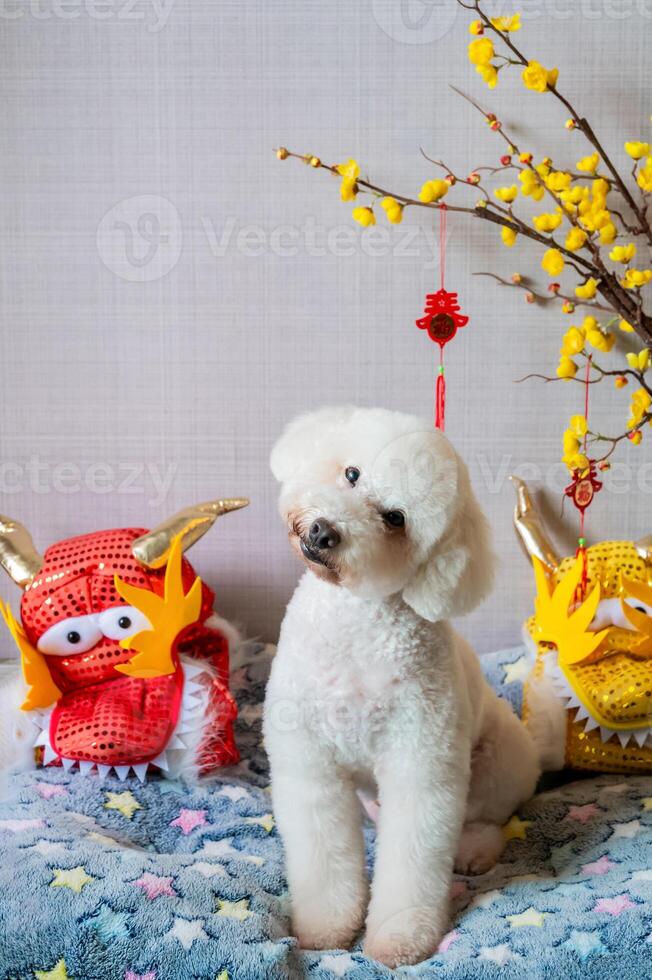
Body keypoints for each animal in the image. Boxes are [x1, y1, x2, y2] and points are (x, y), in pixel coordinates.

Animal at [262, 404, 544, 964]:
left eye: (395, 519)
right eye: (352, 474)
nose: (324, 532)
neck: (357, 622)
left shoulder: (421, 766)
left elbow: (414, 858)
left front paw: (399, 938)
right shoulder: (310, 764)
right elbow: (323, 856)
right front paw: (325, 929)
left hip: (498, 762)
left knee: (487, 818)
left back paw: (473, 851)